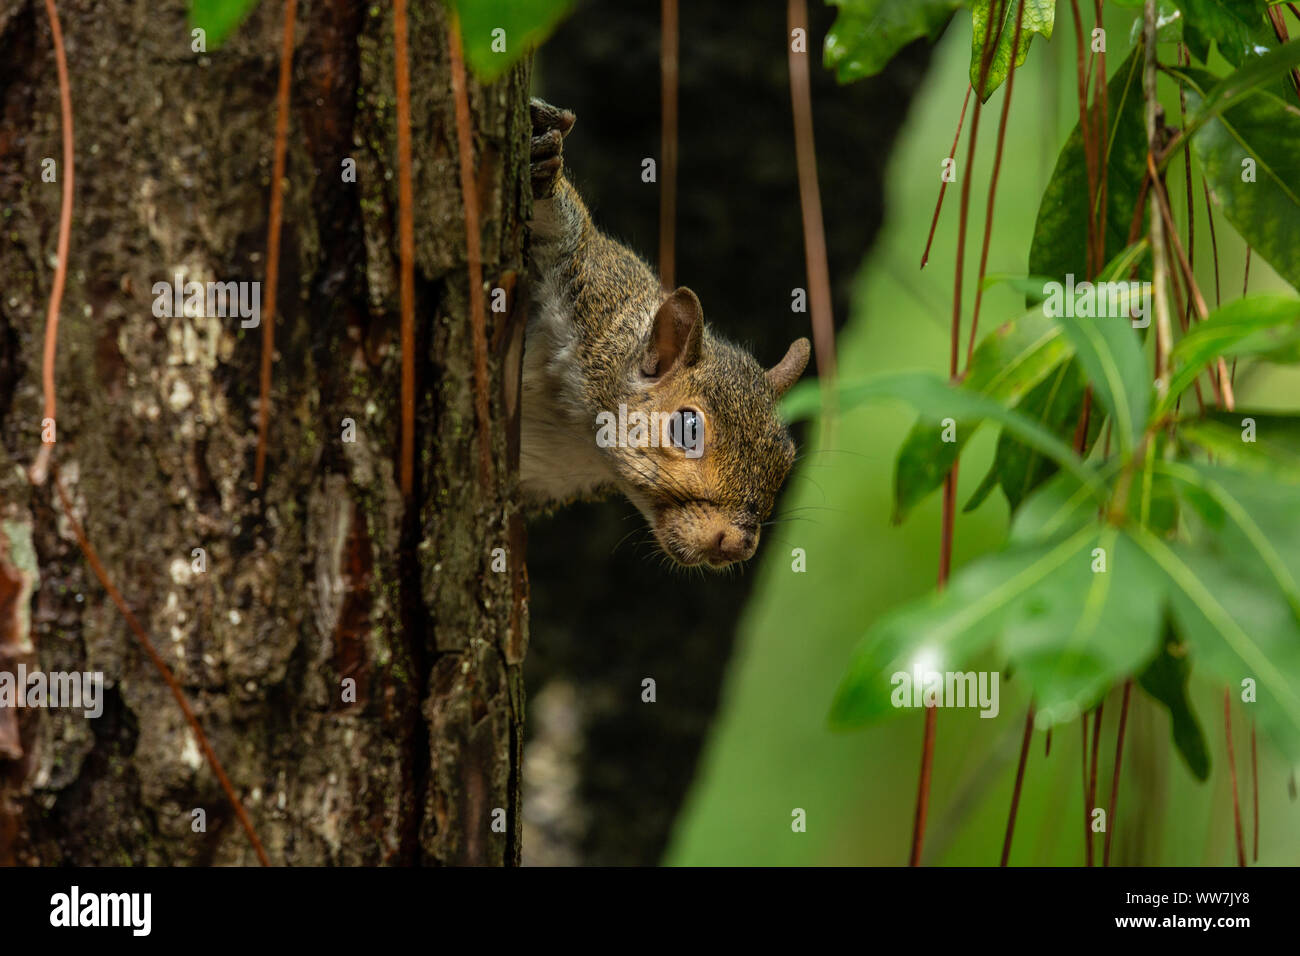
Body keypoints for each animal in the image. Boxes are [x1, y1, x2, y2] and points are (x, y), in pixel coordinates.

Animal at [521, 98, 811, 569]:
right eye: (687, 429)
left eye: (785, 457)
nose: (738, 545)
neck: (578, 428)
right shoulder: (596, 289)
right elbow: (567, 235)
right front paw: (546, 165)